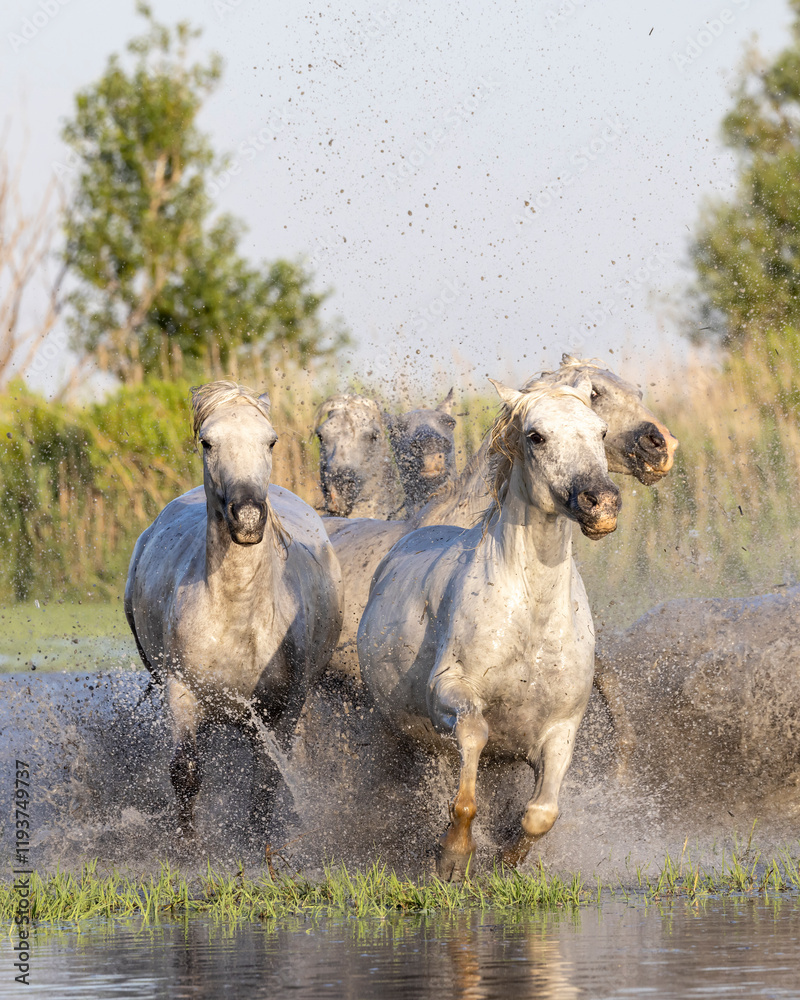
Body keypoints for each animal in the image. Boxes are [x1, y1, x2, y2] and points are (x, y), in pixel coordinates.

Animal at [124, 381, 343, 836]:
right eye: (208, 442)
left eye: (271, 441)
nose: (247, 518)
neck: (238, 618)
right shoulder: (181, 692)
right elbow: (186, 773)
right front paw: (187, 843)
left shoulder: (285, 707)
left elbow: (266, 782)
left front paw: (256, 843)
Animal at [357, 375, 620, 878]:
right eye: (536, 436)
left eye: (600, 431)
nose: (601, 504)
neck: (531, 615)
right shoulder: (450, 691)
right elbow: (471, 759)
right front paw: (453, 857)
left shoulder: (562, 727)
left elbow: (542, 813)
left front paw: (505, 860)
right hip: (401, 734)